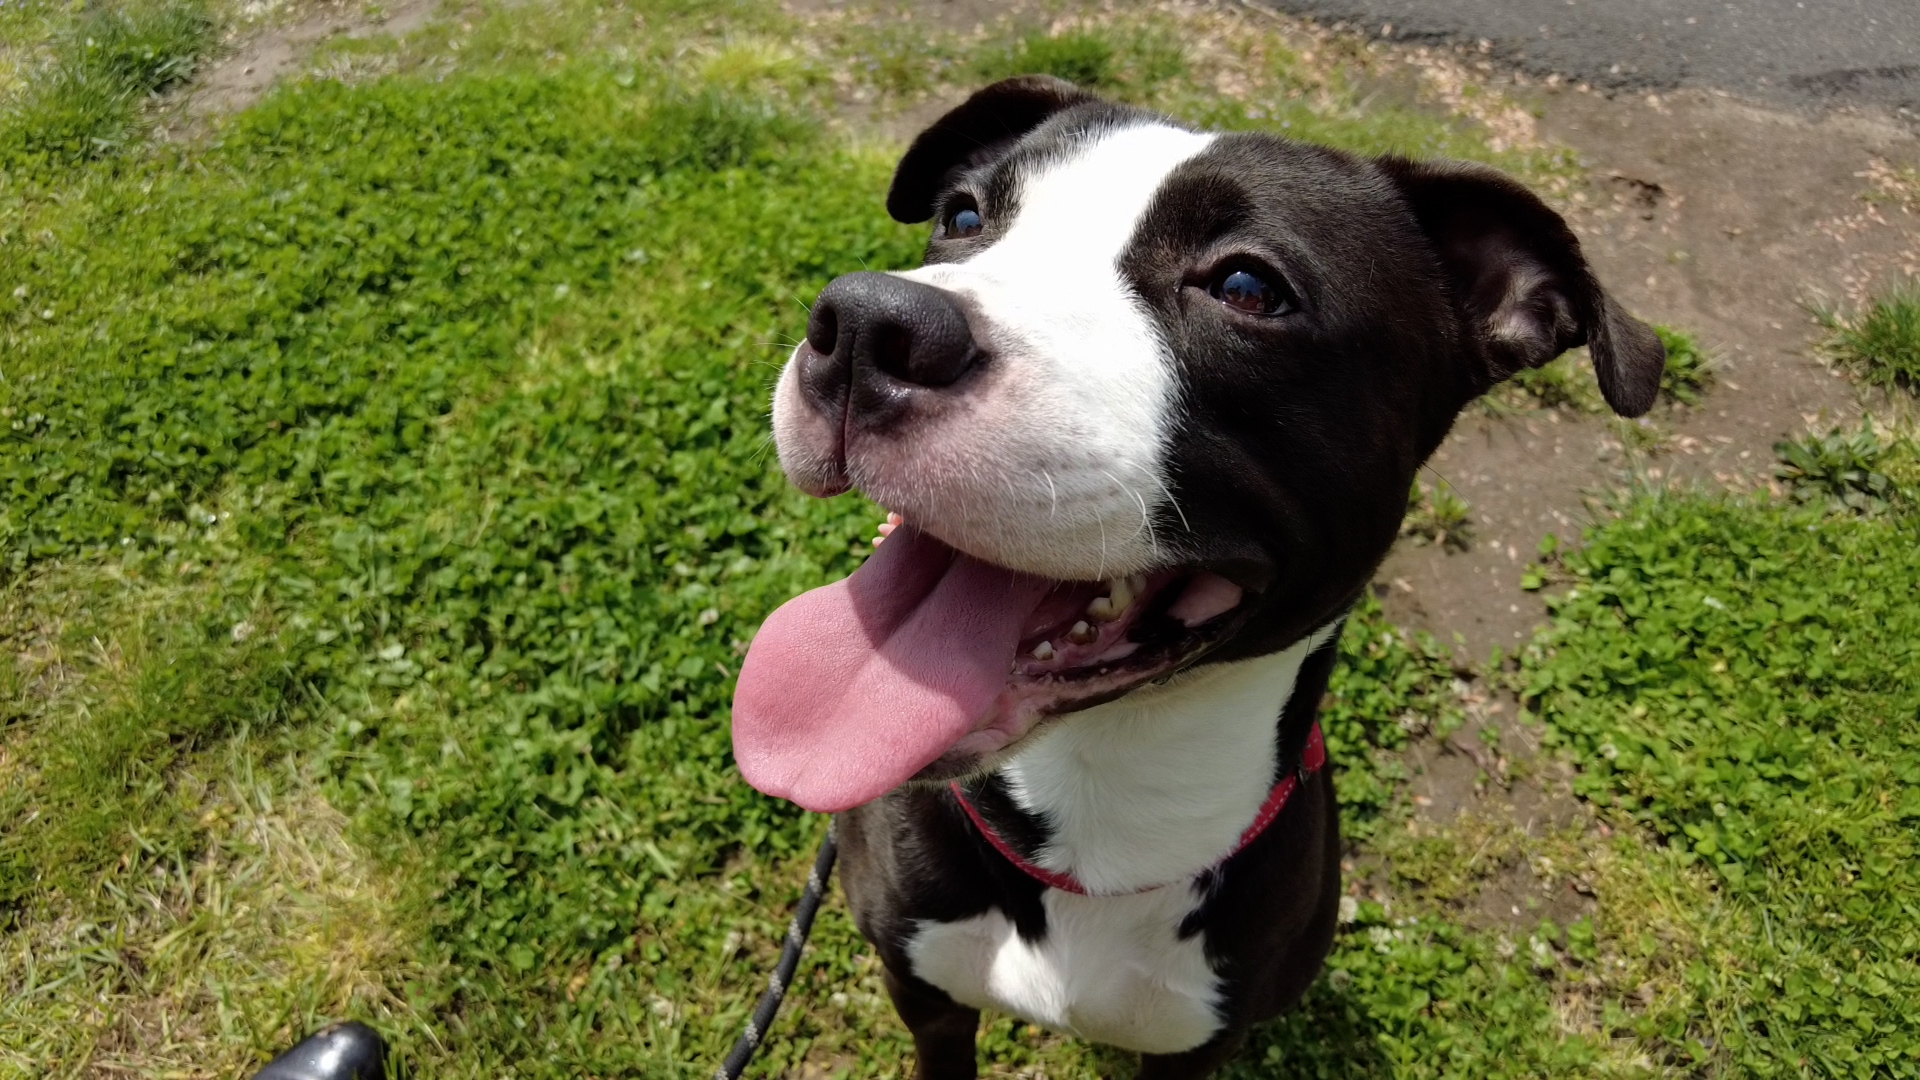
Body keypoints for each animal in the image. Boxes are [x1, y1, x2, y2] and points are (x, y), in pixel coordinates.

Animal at [725, 77, 1658, 1076]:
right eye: (963, 215)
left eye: (1247, 286)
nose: (868, 324)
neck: (1098, 816)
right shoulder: (925, 994)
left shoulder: (1198, 1046)